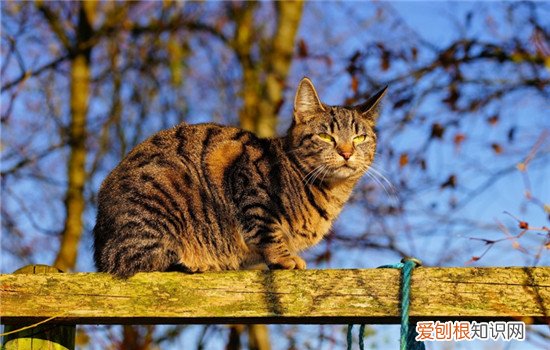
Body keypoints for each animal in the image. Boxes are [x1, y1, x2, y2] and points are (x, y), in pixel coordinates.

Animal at [92, 78, 388, 278]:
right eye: (326, 136)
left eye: (359, 138)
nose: (346, 152)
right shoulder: (247, 179)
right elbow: (267, 230)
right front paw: (284, 257)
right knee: (135, 259)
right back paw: (195, 263)